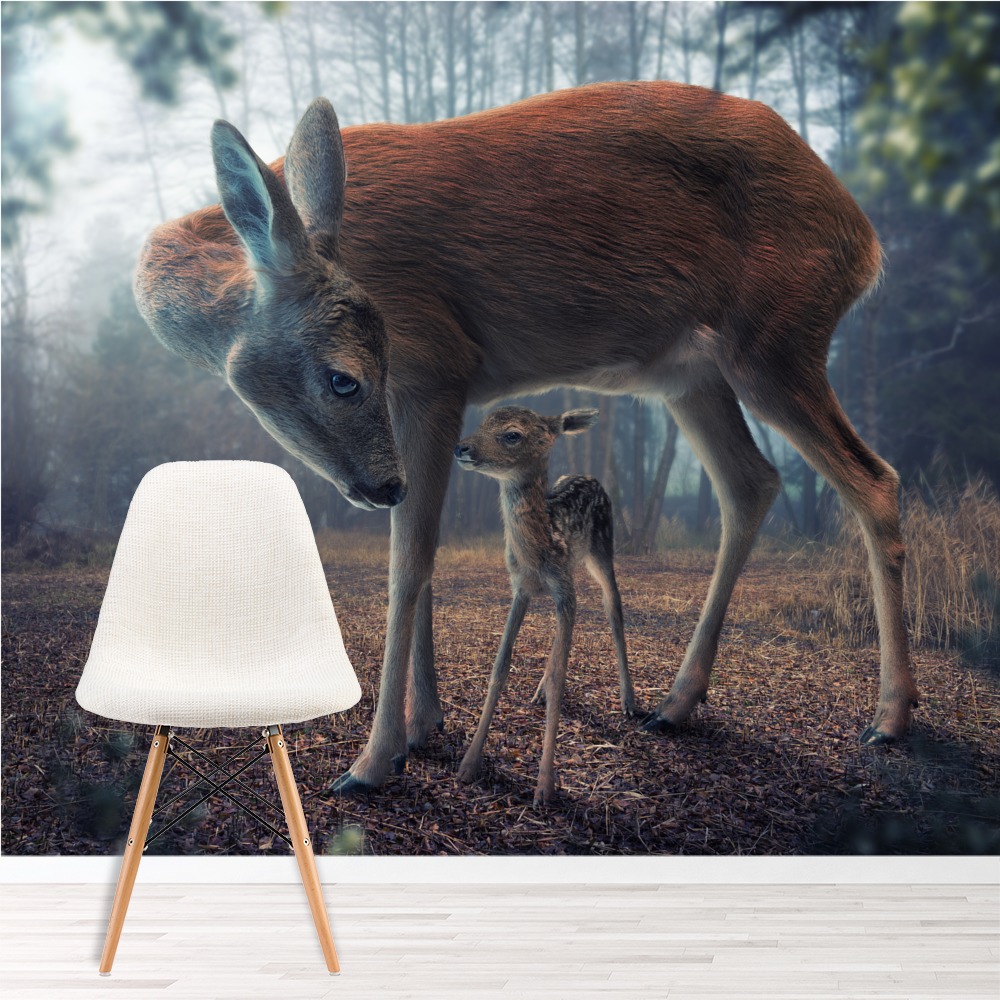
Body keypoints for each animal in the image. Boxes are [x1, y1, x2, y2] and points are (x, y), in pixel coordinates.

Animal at [453, 405, 639, 806]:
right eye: (484, 420)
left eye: (512, 434)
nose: (461, 447)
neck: (538, 549)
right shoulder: (521, 588)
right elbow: (500, 667)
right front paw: (468, 765)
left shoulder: (563, 589)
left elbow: (560, 677)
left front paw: (544, 787)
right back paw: (538, 691)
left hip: (602, 549)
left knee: (613, 607)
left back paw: (629, 700)